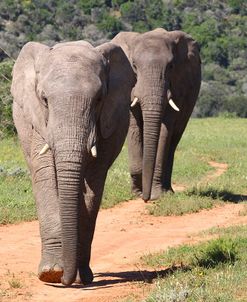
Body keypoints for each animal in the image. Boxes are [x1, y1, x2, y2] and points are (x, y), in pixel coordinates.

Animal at [11, 40, 135, 286]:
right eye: (44, 99)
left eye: (99, 99)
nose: (64, 279)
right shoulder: (39, 122)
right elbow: (46, 175)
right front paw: (50, 273)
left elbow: (93, 182)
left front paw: (80, 277)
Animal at [112, 28, 201, 202]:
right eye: (134, 66)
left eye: (171, 66)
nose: (146, 199)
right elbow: (134, 127)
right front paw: (136, 193)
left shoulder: (178, 85)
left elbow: (164, 131)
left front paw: (157, 195)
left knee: (174, 140)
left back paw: (168, 191)